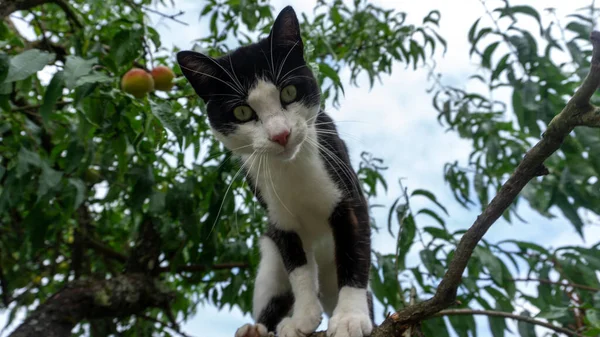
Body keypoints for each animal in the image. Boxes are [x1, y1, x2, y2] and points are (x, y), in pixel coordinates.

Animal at [178, 5, 372, 336]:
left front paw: (350, 317)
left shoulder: (346, 189)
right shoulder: (278, 218)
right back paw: (258, 327)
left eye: (289, 92)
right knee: (276, 288)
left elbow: (355, 252)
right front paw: (302, 317)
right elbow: (298, 267)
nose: (280, 134)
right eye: (242, 111)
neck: (291, 168)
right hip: (269, 256)